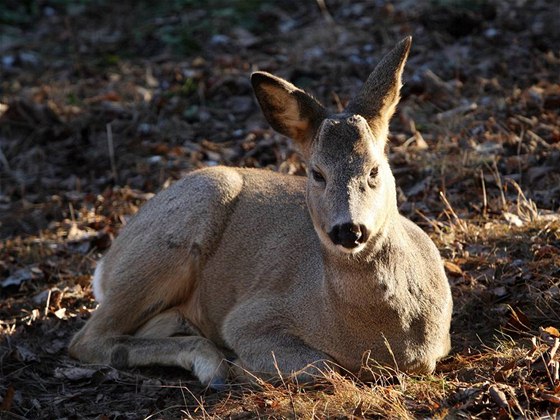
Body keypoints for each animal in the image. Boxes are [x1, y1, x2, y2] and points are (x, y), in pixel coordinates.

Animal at [70, 37, 452, 388]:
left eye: (375, 169)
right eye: (317, 173)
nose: (349, 229)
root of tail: (105, 264)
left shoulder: (437, 347)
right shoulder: (249, 317)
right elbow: (324, 367)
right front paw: (242, 367)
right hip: (181, 225)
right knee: (87, 339)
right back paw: (211, 362)